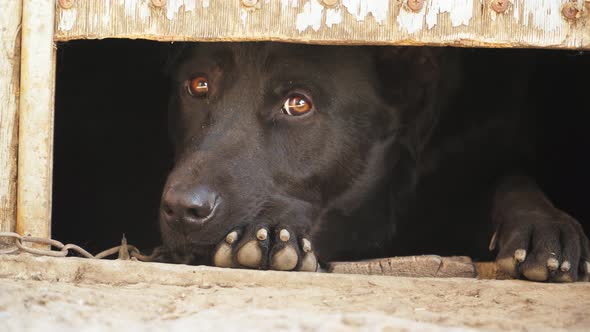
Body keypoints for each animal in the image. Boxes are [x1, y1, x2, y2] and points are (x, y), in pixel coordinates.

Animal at [160, 42, 588, 282]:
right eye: (198, 85)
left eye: (298, 103)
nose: (182, 208)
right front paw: (264, 236)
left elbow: (513, 178)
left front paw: (544, 226)